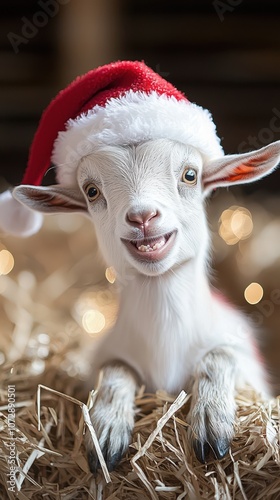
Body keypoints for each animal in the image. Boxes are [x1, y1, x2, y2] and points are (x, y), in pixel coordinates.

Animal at [13, 135, 280, 470]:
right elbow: (115, 369)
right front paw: (106, 429)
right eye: (91, 191)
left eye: (190, 175)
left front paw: (210, 422)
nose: (142, 216)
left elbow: (219, 355)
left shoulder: (247, 366)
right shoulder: (105, 357)